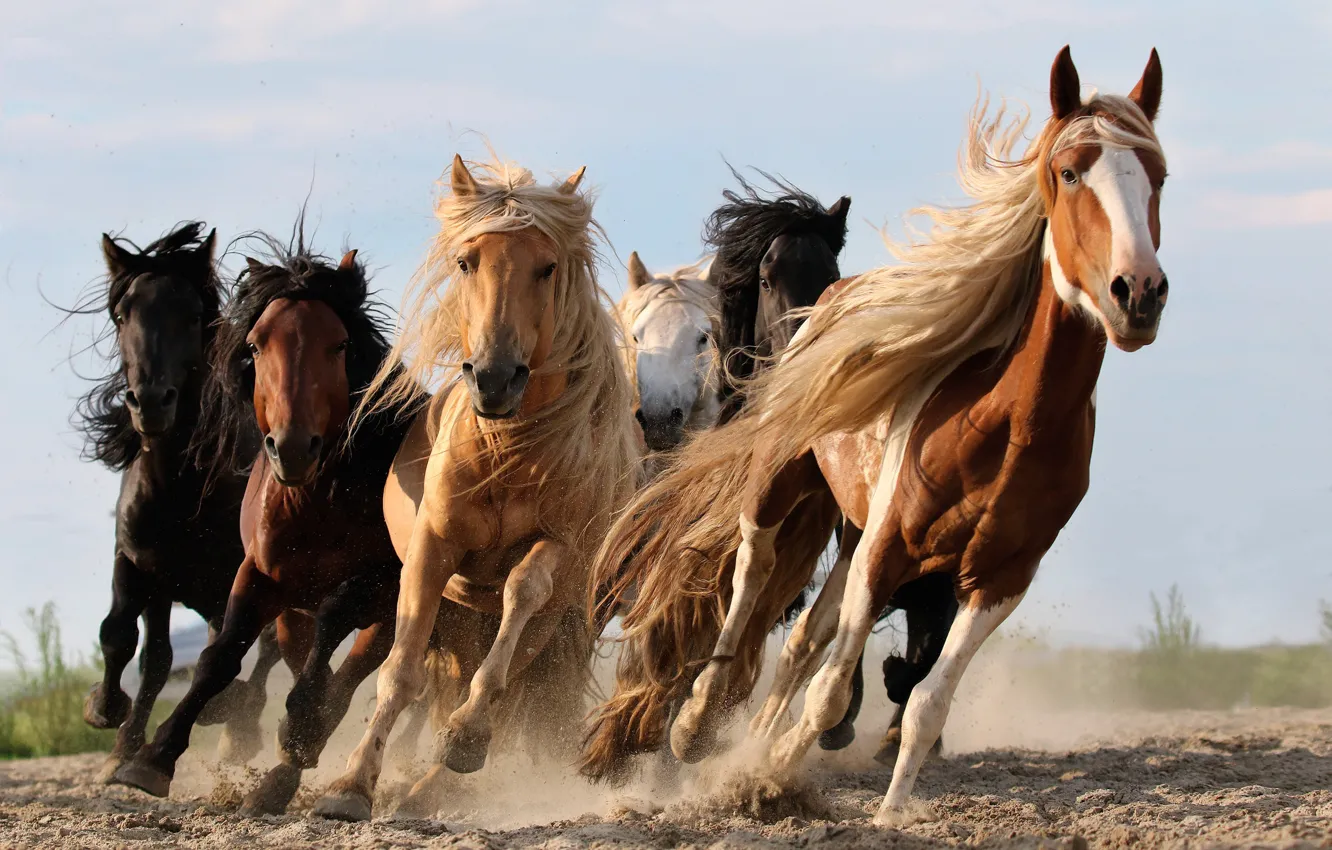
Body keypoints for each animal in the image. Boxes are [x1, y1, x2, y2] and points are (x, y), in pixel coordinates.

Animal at [72, 222, 281, 783]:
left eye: (192, 315)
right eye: (123, 315)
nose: (150, 402)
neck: (180, 490)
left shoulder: (238, 575)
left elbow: (233, 650)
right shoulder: (141, 564)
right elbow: (129, 641)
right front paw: (110, 722)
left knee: (266, 651)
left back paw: (237, 727)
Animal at [109, 232, 420, 815]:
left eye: (339, 345)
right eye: (255, 346)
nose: (292, 448)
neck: (317, 501)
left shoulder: (385, 583)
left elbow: (336, 620)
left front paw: (300, 724)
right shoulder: (258, 575)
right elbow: (219, 656)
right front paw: (152, 759)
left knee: (347, 678)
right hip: (296, 613)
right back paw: (277, 776)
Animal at [311, 156, 638, 822]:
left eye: (547, 266)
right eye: (467, 262)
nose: (493, 378)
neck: (506, 454)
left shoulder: (558, 548)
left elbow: (520, 596)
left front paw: (464, 737)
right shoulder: (433, 550)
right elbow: (401, 672)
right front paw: (350, 785)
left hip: (553, 624)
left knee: (509, 687)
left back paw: (437, 780)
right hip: (463, 618)